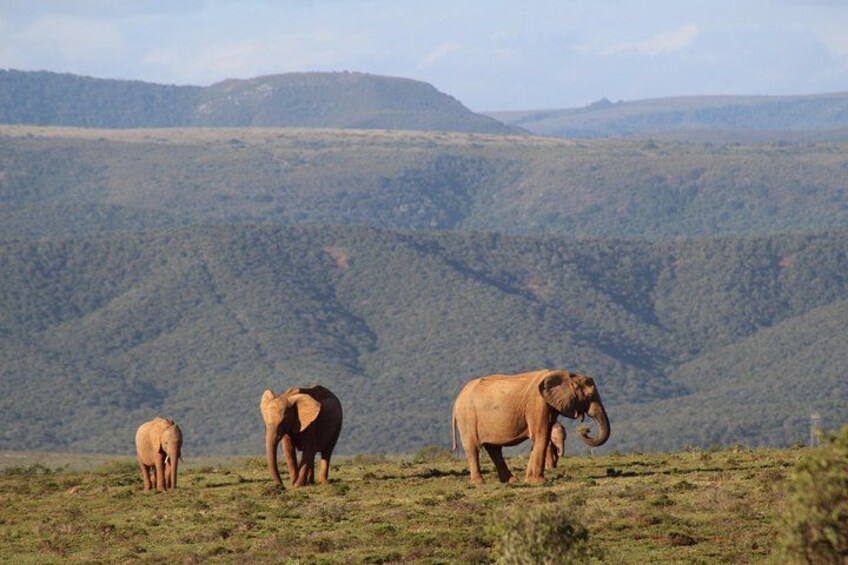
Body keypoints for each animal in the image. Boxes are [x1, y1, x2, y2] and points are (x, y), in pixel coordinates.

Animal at [452, 369, 610, 484]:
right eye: (589, 396)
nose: (585, 431)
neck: (564, 374)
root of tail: (456, 401)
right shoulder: (538, 404)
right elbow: (542, 436)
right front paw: (539, 482)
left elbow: (540, 438)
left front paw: (530, 480)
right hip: (467, 417)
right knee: (473, 448)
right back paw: (479, 482)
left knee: (494, 449)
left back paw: (511, 481)